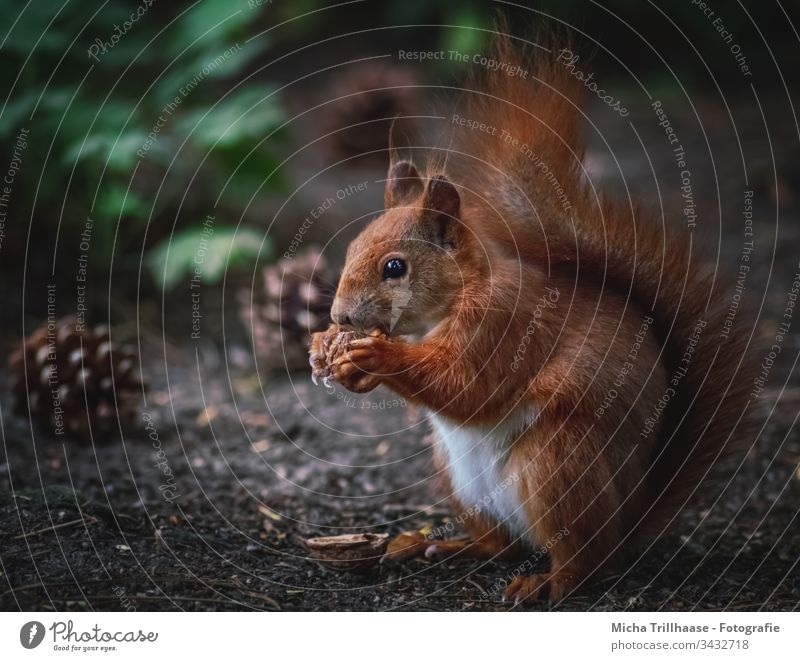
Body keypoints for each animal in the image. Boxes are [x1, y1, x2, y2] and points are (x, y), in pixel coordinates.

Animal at [308, 34, 756, 604]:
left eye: (394, 267)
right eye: (350, 249)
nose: (340, 315)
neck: (449, 306)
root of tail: (631, 517)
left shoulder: (504, 325)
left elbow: (467, 385)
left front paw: (375, 354)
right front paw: (329, 351)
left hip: (557, 464)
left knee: (584, 559)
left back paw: (548, 581)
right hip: (459, 477)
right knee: (502, 547)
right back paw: (440, 545)